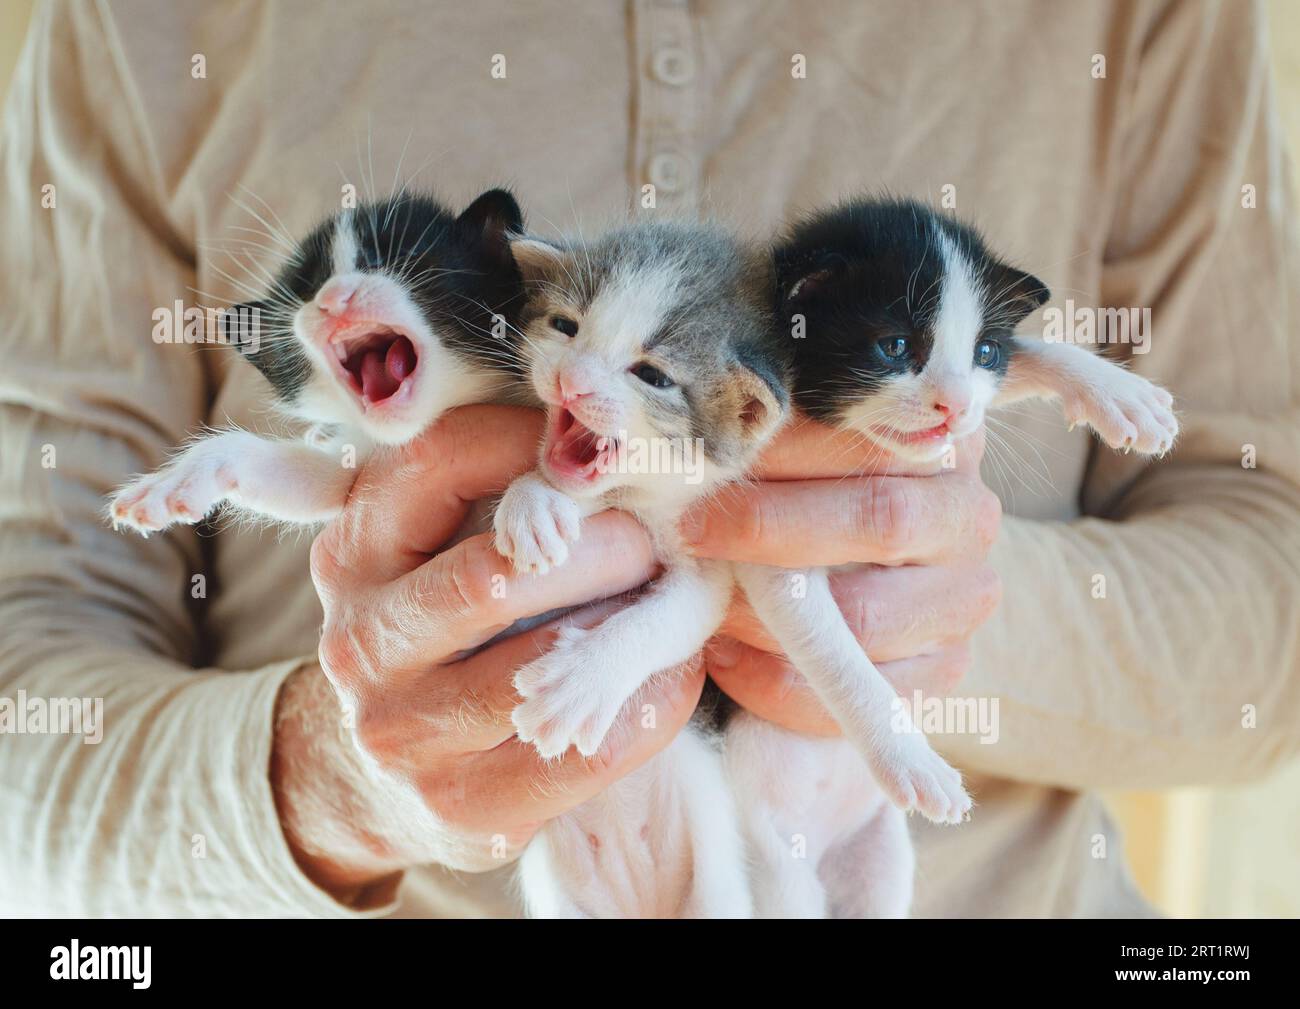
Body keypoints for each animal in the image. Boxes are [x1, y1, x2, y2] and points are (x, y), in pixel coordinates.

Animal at [728, 195, 1185, 915]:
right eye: (894, 347)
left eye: (983, 351)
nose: (957, 407)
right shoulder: (760, 539)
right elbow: (837, 652)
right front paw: (911, 759)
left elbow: (1028, 353)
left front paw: (1115, 391)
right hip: (775, 872)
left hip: (881, 860)